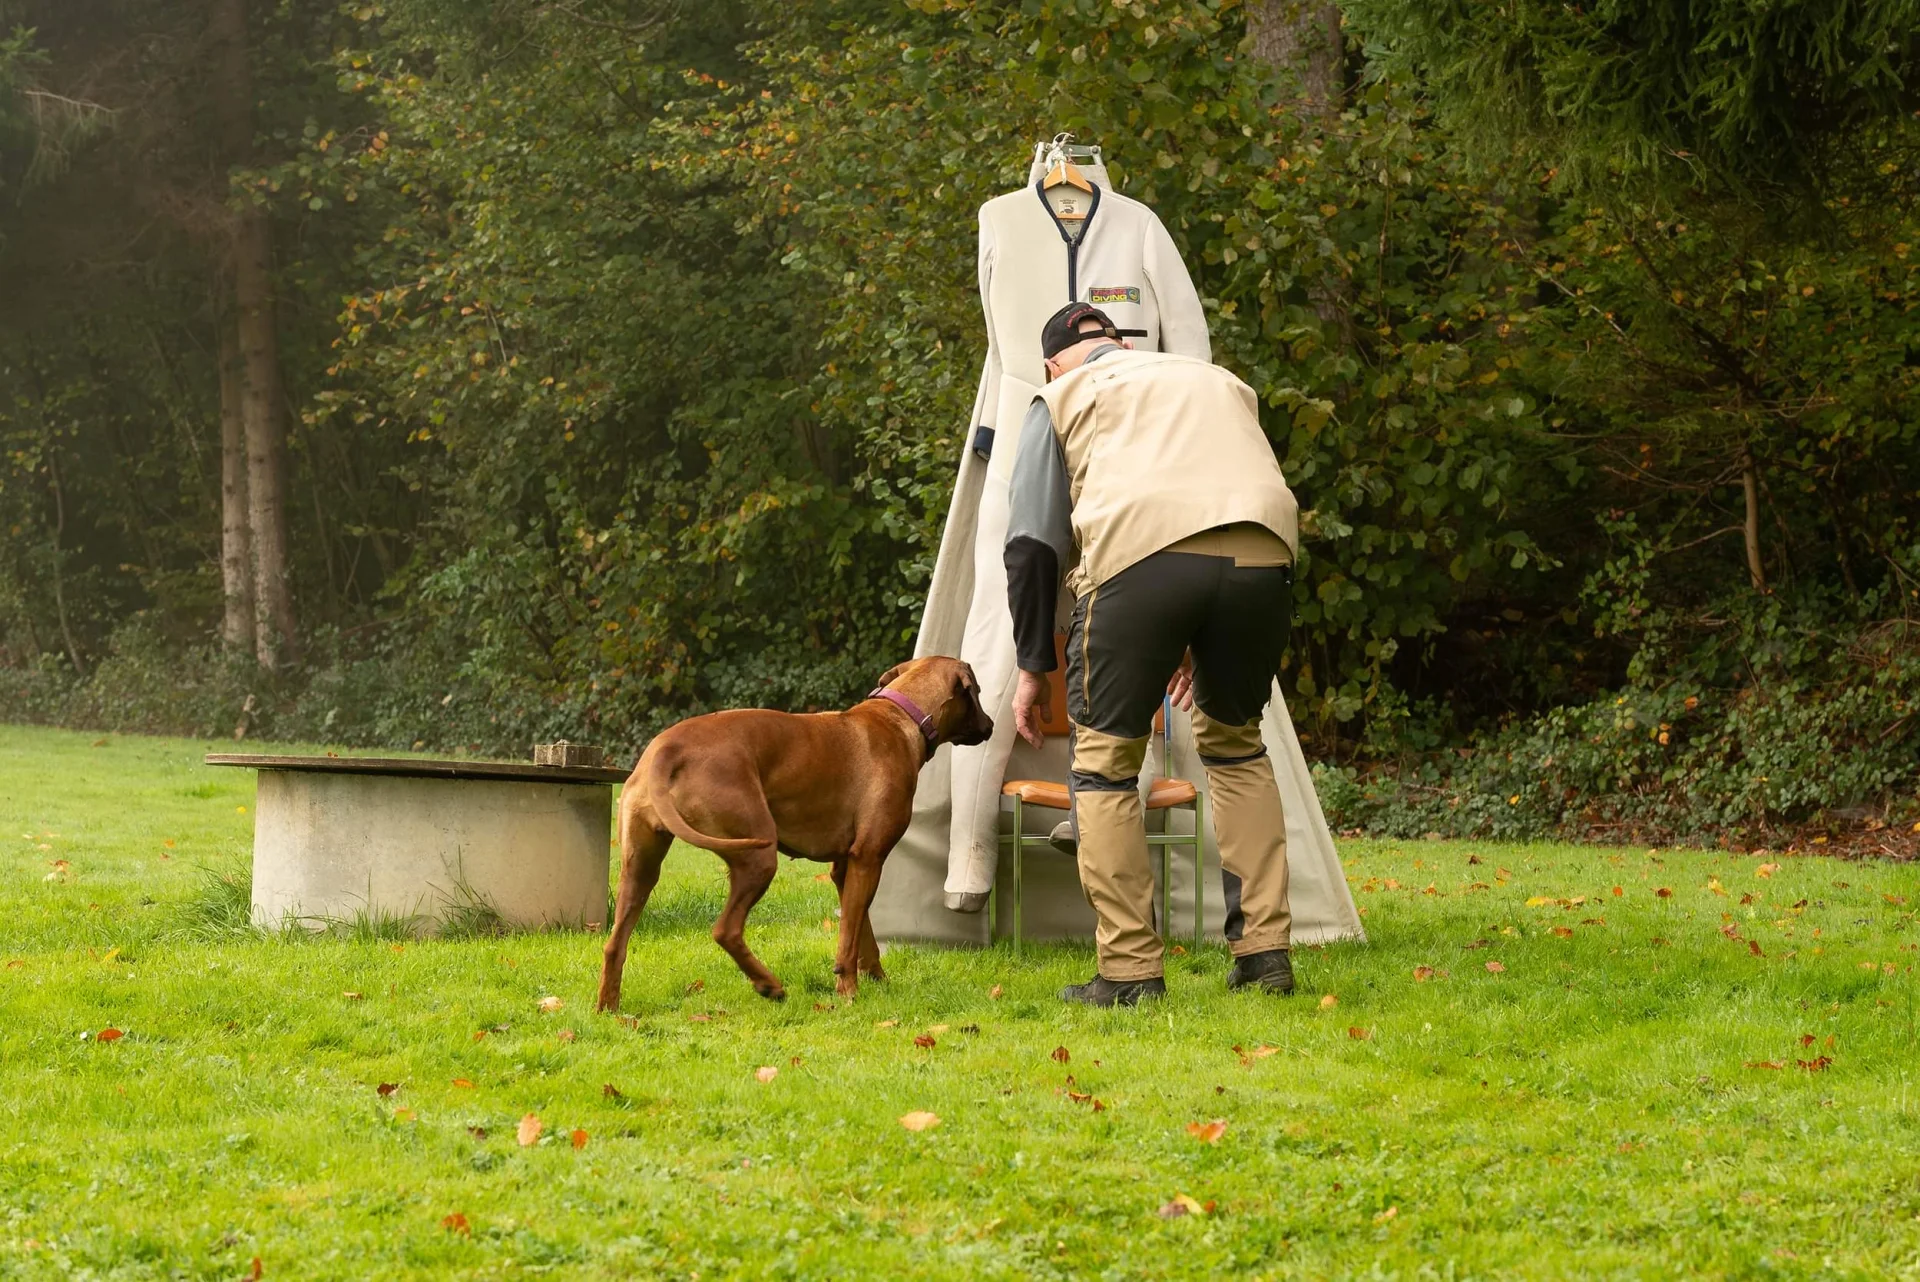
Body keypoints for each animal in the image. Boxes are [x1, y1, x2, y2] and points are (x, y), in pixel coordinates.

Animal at [596, 656, 993, 1010]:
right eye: (979, 693)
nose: (990, 724)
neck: (903, 716)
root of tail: (667, 747)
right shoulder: (869, 858)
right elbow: (849, 938)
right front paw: (848, 991)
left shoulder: (846, 868)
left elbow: (863, 931)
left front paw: (877, 977)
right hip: (757, 855)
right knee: (725, 930)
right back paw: (768, 985)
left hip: (640, 867)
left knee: (615, 944)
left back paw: (609, 1008)